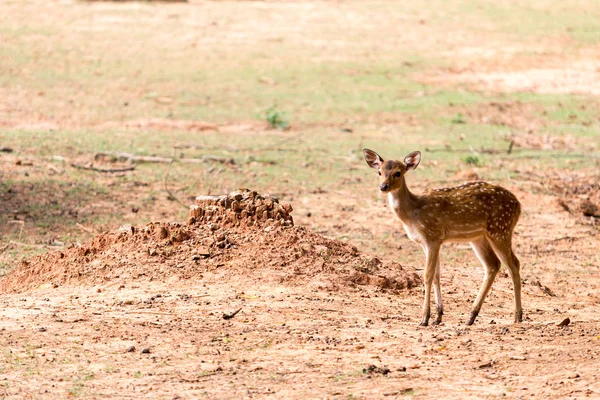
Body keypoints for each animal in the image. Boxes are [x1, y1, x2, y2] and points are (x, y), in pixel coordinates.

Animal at [360, 148, 520, 326]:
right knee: (494, 265)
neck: (413, 213)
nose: (383, 186)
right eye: (379, 172)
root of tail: (518, 205)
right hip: (479, 237)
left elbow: (427, 275)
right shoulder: (428, 243)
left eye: (398, 173)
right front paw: (438, 317)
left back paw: (517, 316)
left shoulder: (432, 237)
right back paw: (471, 316)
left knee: (513, 265)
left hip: (500, 228)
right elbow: (437, 275)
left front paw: (424, 318)